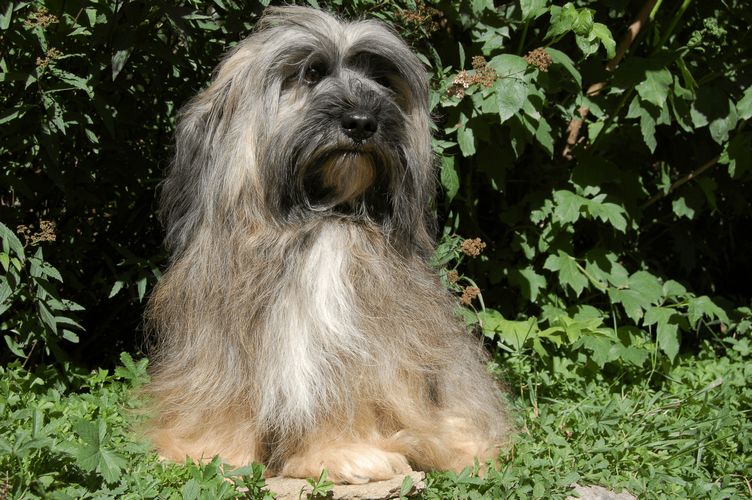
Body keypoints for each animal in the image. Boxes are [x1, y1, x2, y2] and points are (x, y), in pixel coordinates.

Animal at [144, 6, 511, 484]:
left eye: (381, 78)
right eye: (311, 73)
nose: (362, 123)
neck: (321, 223)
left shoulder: (364, 340)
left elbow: (347, 390)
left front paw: (343, 453)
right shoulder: (218, 338)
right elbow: (221, 393)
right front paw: (209, 453)